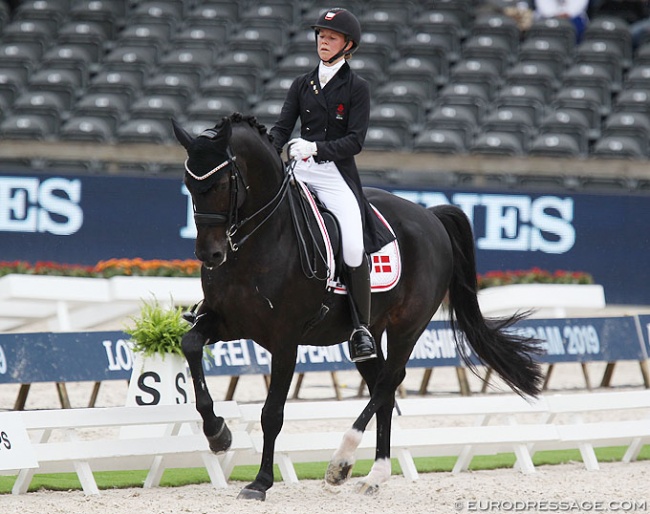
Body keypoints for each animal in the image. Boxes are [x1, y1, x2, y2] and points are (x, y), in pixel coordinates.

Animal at [172, 113, 540, 500]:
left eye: (221, 183)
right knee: (382, 385)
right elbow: (191, 345)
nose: (209, 254)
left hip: (408, 326)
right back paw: (374, 475)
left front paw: (260, 482)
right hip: (369, 331)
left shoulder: (285, 340)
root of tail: (430, 216)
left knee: (388, 382)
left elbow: (272, 412)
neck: (259, 242)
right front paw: (218, 433)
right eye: (189, 184)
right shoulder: (225, 321)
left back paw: (341, 463)